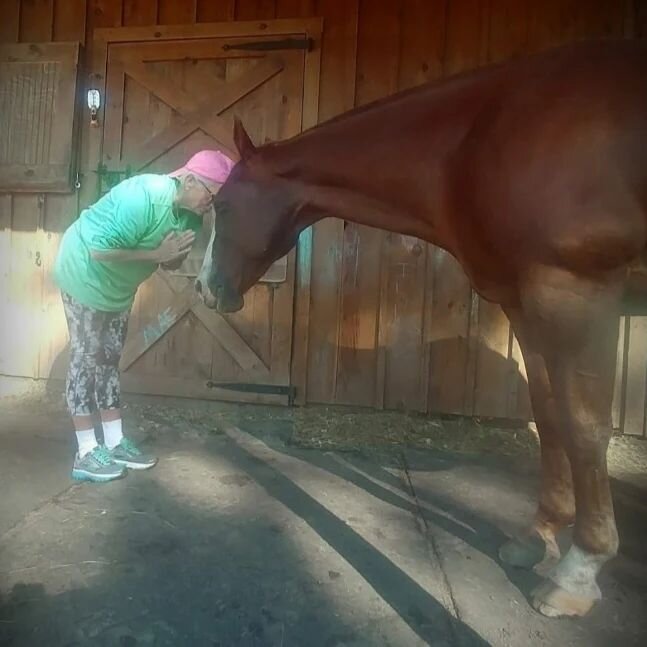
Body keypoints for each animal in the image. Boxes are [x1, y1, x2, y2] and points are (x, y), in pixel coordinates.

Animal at [197, 40, 647, 616]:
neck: (477, 142)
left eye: (223, 205)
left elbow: (586, 428)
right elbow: (549, 417)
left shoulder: (577, 293)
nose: (204, 288)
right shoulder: (525, 304)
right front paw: (537, 537)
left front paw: (578, 571)